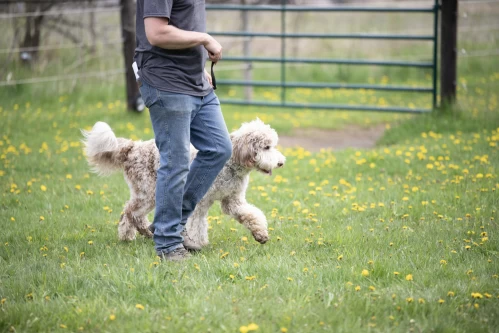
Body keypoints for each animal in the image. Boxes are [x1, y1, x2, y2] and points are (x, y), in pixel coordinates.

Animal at [82, 118, 286, 249]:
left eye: (272, 145)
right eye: (266, 147)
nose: (281, 162)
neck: (230, 163)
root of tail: (133, 148)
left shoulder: (233, 200)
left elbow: (251, 214)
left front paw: (260, 234)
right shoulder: (200, 201)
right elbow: (197, 223)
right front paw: (197, 243)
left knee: (129, 213)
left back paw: (131, 235)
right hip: (148, 191)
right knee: (131, 212)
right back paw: (141, 233)